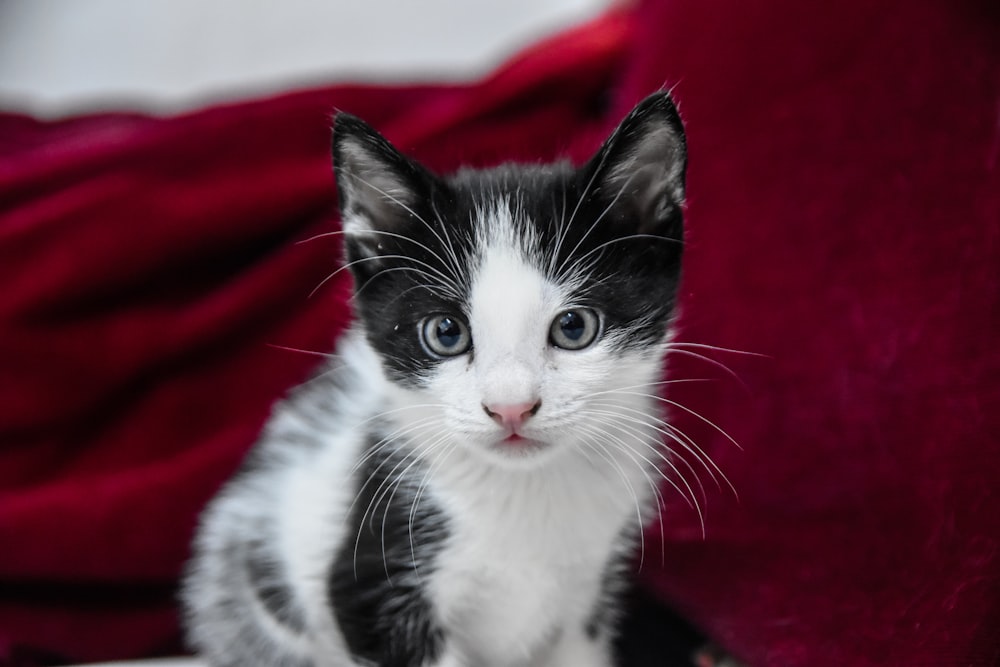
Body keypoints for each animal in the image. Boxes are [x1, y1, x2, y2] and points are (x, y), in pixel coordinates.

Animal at [182, 90, 688, 667]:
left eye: (574, 327)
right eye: (446, 333)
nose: (510, 408)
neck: (524, 492)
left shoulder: (590, 598)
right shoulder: (370, 586)